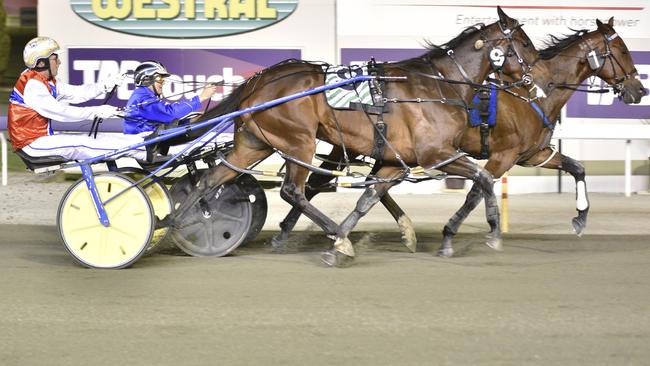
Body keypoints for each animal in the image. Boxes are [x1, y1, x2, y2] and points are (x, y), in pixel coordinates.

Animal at [163, 7, 536, 266]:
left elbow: (368, 198)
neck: (437, 87)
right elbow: (484, 179)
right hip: (299, 142)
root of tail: (260, 80)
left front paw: (402, 234)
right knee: (292, 191)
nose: (534, 81)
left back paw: (175, 223)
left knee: (210, 180)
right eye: (524, 43)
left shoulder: (394, 160)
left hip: (254, 144)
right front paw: (491, 233)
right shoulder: (436, 154)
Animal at [274, 17, 644, 258]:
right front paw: (456, 235)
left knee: (363, 185)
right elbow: (477, 193)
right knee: (315, 184)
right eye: (623, 52)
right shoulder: (502, 156)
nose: (639, 90)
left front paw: (580, 218)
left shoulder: (534, 154)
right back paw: (291, 232)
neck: (534, 94)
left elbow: (578, 167)